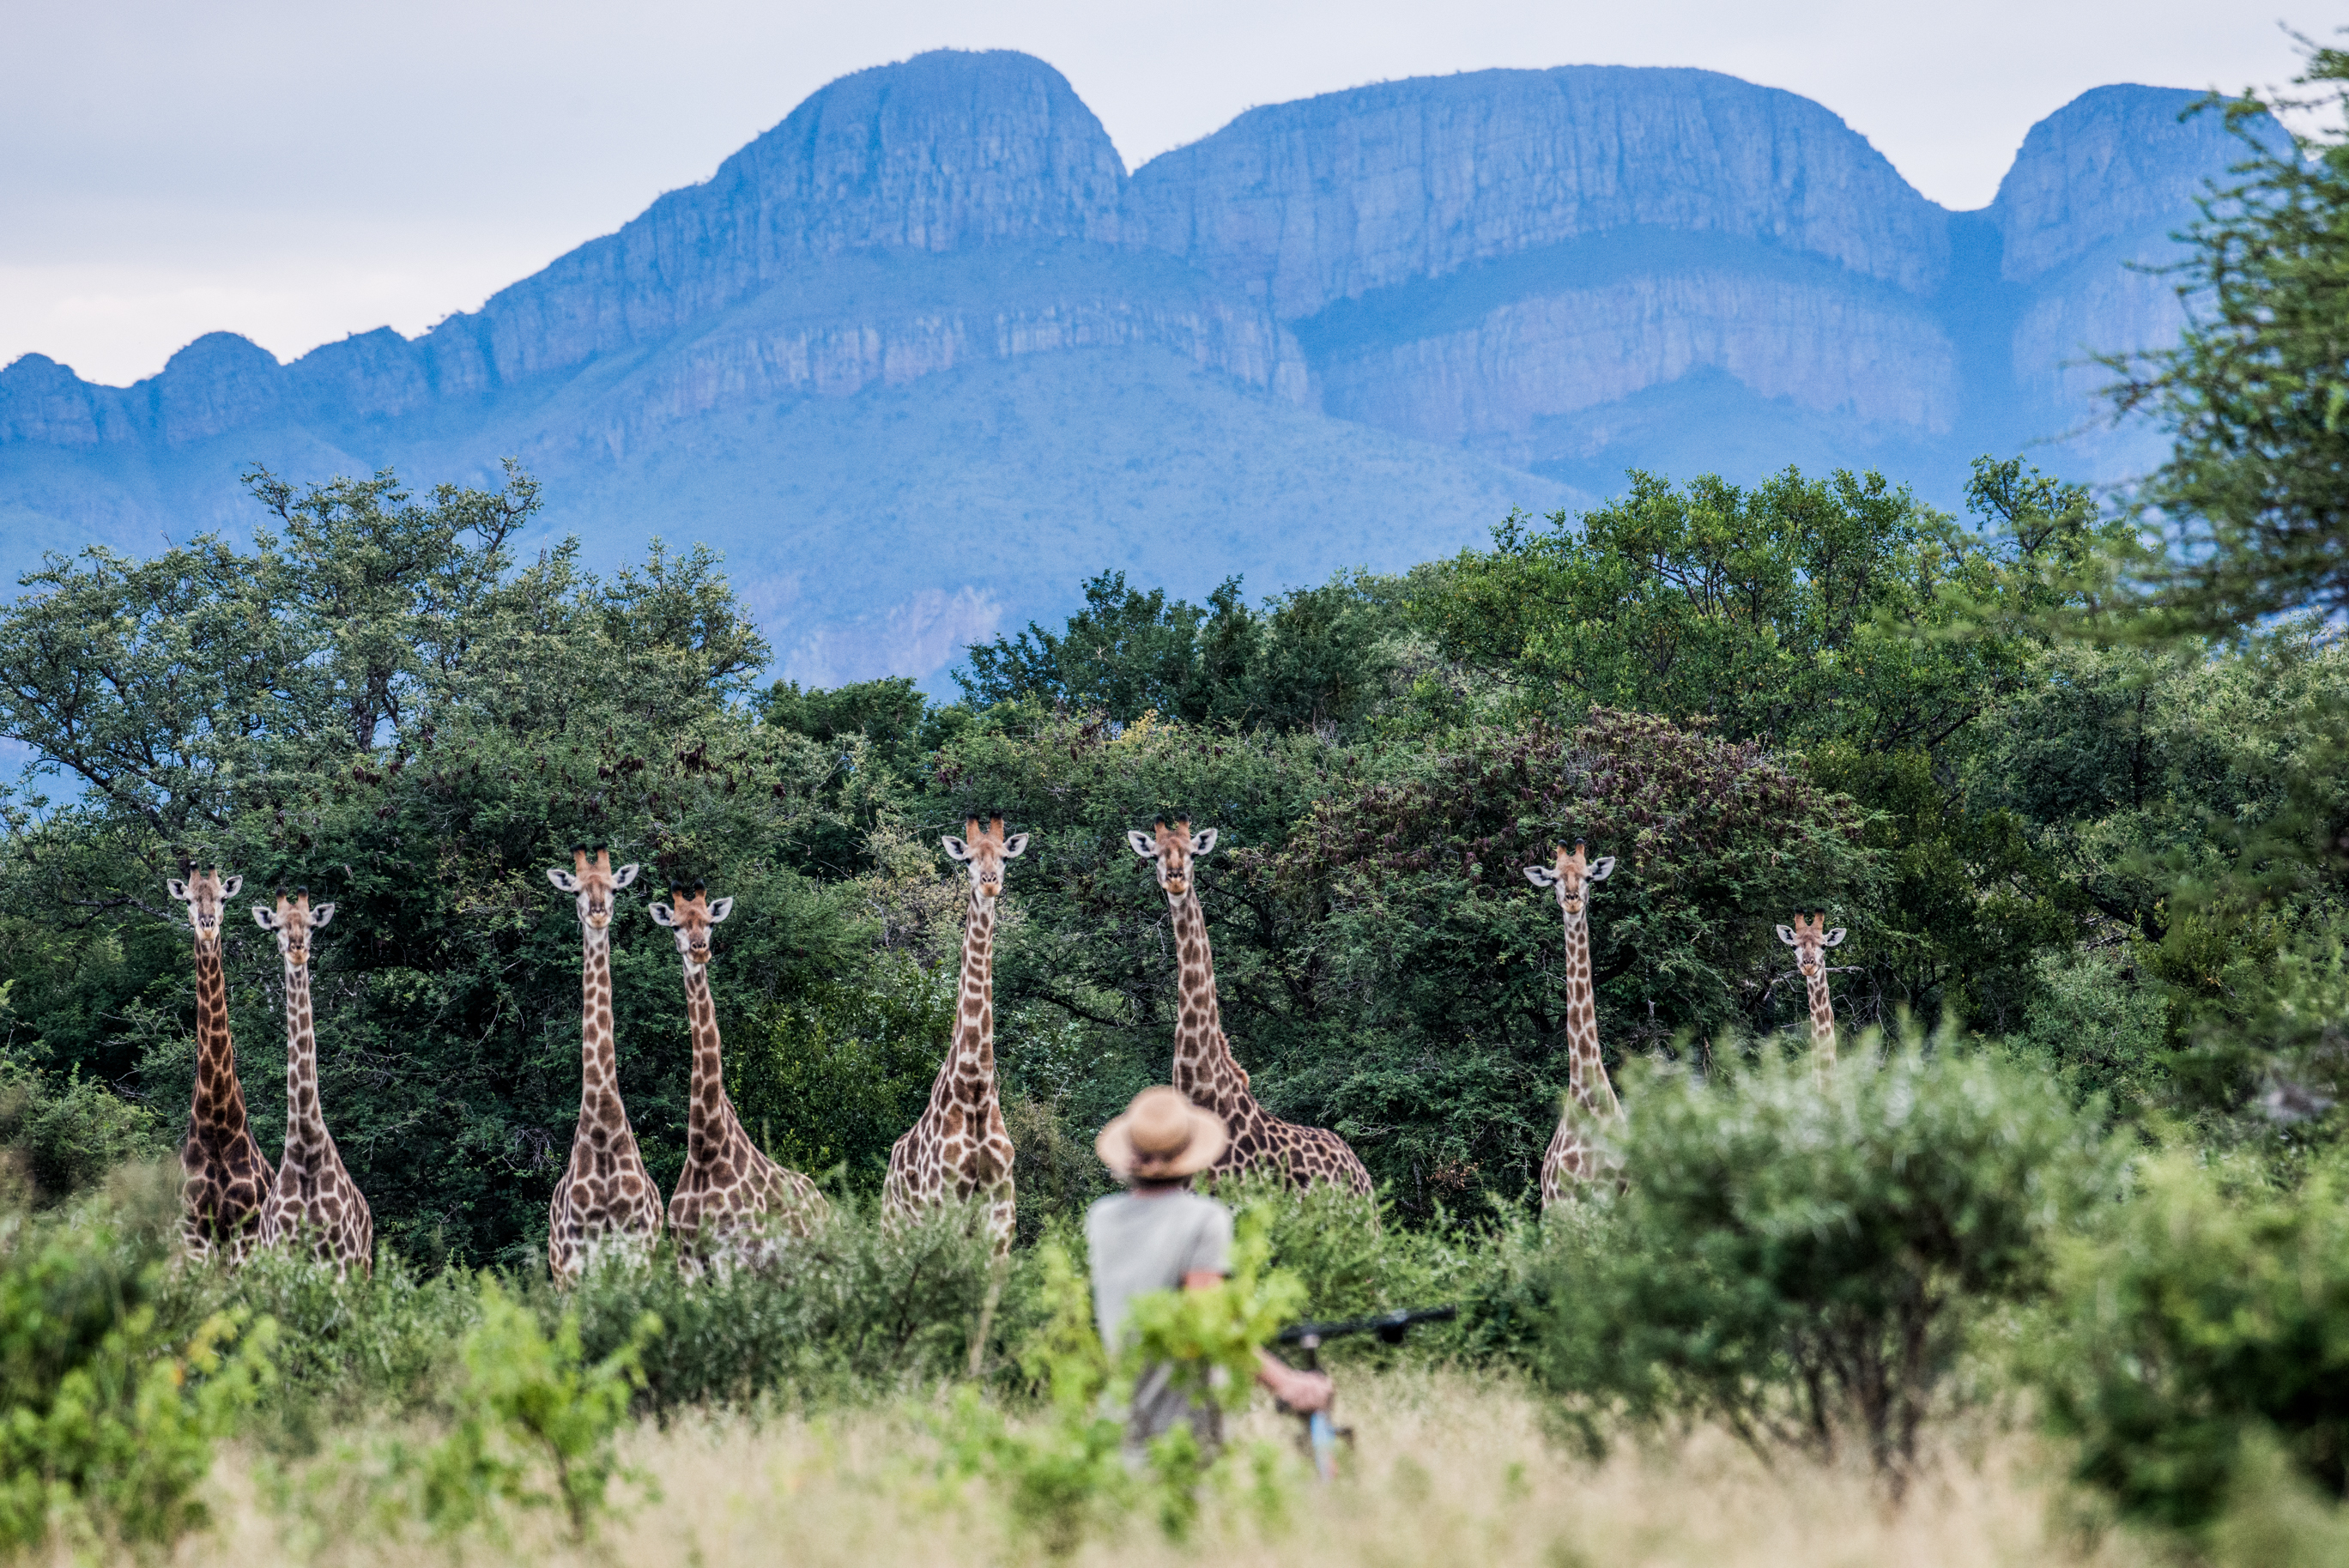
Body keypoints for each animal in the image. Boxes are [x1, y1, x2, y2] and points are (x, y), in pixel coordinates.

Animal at [167, 868, 275, 1267]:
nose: (208, 925)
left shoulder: (246, 1230)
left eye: (223, 898)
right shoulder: (196, 1232)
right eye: (187, 900)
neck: (216, 1118)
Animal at [252, 889, 373, 1274]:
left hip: (364, 1267)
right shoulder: (280, 1257)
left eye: (311, 926)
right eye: (275, 926)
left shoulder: (342, 1261)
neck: (305, 1147)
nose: (297, 949)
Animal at [544, 846, 664, 1286]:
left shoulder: (639, 1255)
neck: (602, 1122)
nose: (598, 914)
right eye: (576, 890)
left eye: (614, 888)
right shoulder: (574, 1265)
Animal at [649, 884, 825, 1275]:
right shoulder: (687, 1258)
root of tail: (825, 1204)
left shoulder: (734, 1257)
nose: (700, 949)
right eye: (676, 926)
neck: (705, 1150)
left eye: (711, 922)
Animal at [884, 813, 1027, 1256]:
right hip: (896, 1231)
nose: (989, 882)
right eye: (966, 860)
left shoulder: (1001, 1214)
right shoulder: (945, 1206)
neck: (975, 1086)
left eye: (1005, 858)